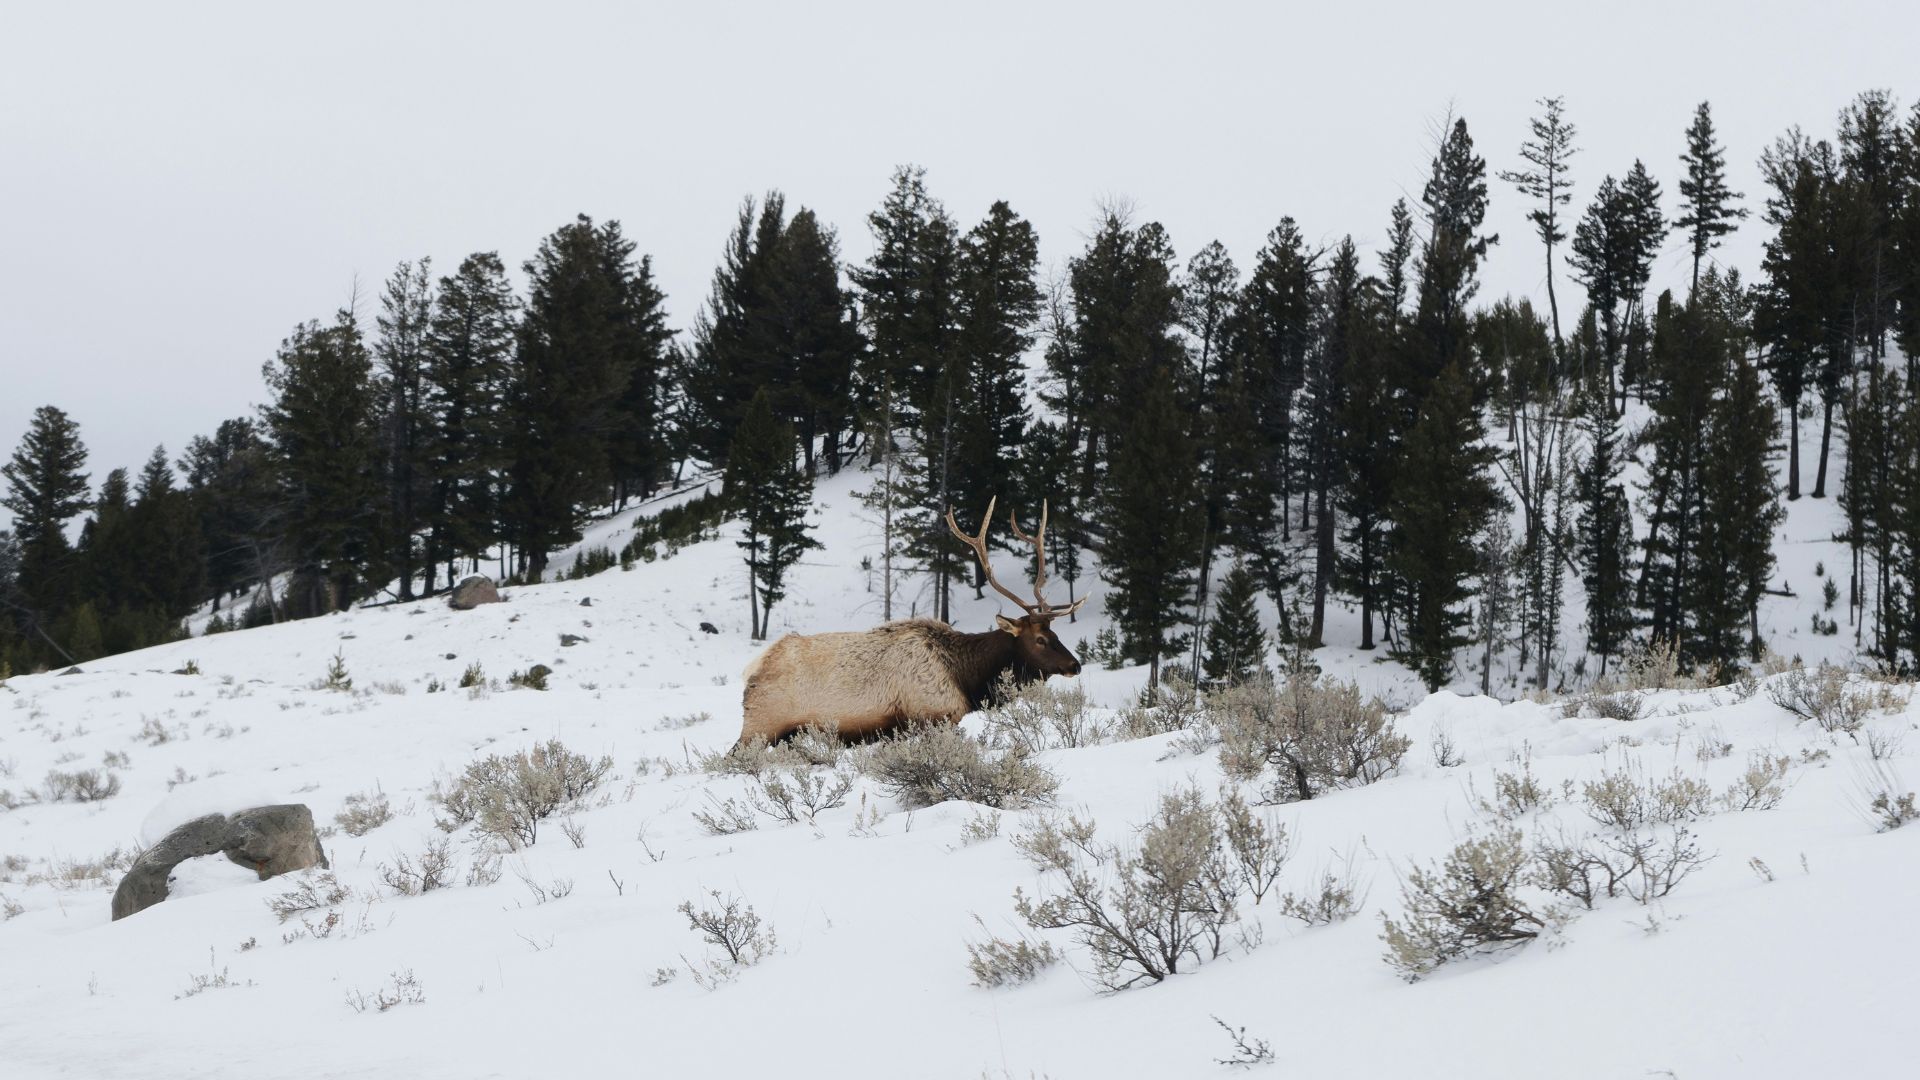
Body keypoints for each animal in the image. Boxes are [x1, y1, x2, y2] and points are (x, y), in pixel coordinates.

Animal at [735, 497, 1088, 747]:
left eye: (1055, 632)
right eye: (1040, 639)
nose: (1075, 664)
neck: (967, 678)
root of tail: (752, 669)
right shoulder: (933, 714)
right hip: (761, 726)